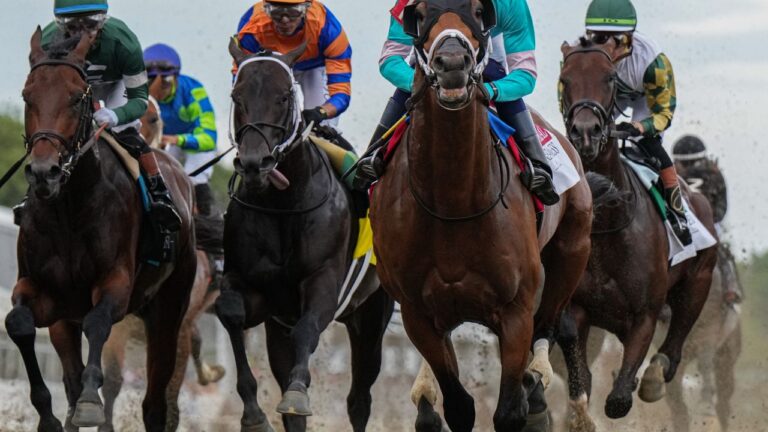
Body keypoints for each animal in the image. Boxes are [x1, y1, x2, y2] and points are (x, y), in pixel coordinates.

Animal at [4, 29, 197, 432]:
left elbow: (97, 323)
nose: (44, 173)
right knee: (70, 374)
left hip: (169, 311)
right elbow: (18, 323)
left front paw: (91, 403)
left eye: (78, 97)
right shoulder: (45, 293)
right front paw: (48, 414)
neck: (67, 210)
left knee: (154, 402)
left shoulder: (116, 283)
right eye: (28, 96)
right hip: (66, 322)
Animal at [214, 39, 394, 432]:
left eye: (284, 96)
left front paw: (298, 392)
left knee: (359, 399)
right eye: (236, 95)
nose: (255, 164)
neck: (283, 204)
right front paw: (253, 413)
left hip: (372, 315)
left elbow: (306, 330)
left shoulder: (323, 283)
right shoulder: (252, 291)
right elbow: (230, 313)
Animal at [369, 2, 593, 430]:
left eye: (478, 10)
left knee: (550, 328)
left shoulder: (515, 311)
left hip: (572, 253)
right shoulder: (419, 315)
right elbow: (459, 405)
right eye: (419, 13)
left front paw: (529, 398)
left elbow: (509, 409)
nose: (453, 64)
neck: (452, 203)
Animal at [557, 37, 718, 430]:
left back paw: (655, 377)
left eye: (610, 78)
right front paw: (578, 415)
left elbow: (618, 400)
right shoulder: (578, 310)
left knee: (672, 352)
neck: (606, 226)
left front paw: (635, 383)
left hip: (698, 284)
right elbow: (581, 376)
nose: (586, 133)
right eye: (565, 80)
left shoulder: (645, 314)